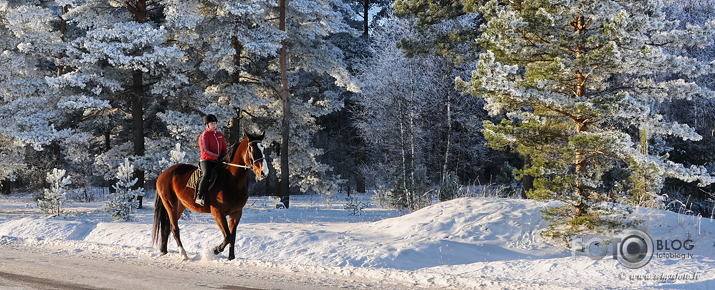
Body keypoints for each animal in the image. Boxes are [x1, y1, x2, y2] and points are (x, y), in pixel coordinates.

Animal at [152, 131, 268, 260]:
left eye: (263, 149)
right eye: (251, 149)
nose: (264, 172)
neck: (231, 180)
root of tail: (163, 174)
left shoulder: (236, 213)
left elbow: (232, 236)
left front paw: (231, 258)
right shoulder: (218, 213)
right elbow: (228, 236)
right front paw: (215, 250)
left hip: (180, 206)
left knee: (167, 227)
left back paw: (164, 250)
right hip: (170, 204)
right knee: (174, 228)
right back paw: (183, 254)